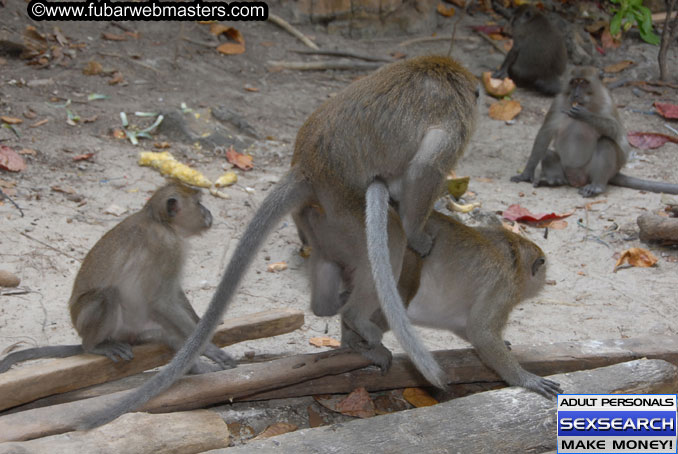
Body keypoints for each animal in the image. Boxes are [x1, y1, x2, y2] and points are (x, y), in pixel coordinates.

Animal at [0, 183, 236, 374]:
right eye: (198, 203)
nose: (208, 212)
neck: (161, 221)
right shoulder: (168, 247)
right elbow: (161, 300)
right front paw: (208, 347)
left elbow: (173, 293)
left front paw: (202, 323)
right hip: (93, 323)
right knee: (107, 295)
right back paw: (94, 346)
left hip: (136, 331)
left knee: (166, 334)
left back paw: (197, 369)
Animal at [298, 204, 564, 400]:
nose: (544, 278)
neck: (513, 254)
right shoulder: (504, 287)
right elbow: (481, 332)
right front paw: (525, 379)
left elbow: (467, 327)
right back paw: (357, 338)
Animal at [510, 65, 678, 197]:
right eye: (574, 82)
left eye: (583, 82)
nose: (575, 94)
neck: (588, 102)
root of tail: (576, 178)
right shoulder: (558, 103)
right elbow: (545, 134)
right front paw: (526, 174)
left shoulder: (607, 102)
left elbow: (617, 132)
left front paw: (585, 115)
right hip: (566, 169)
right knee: (548, 154)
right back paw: (555, 180)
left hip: (594, 171)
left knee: (606, 143)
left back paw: (596, 186)